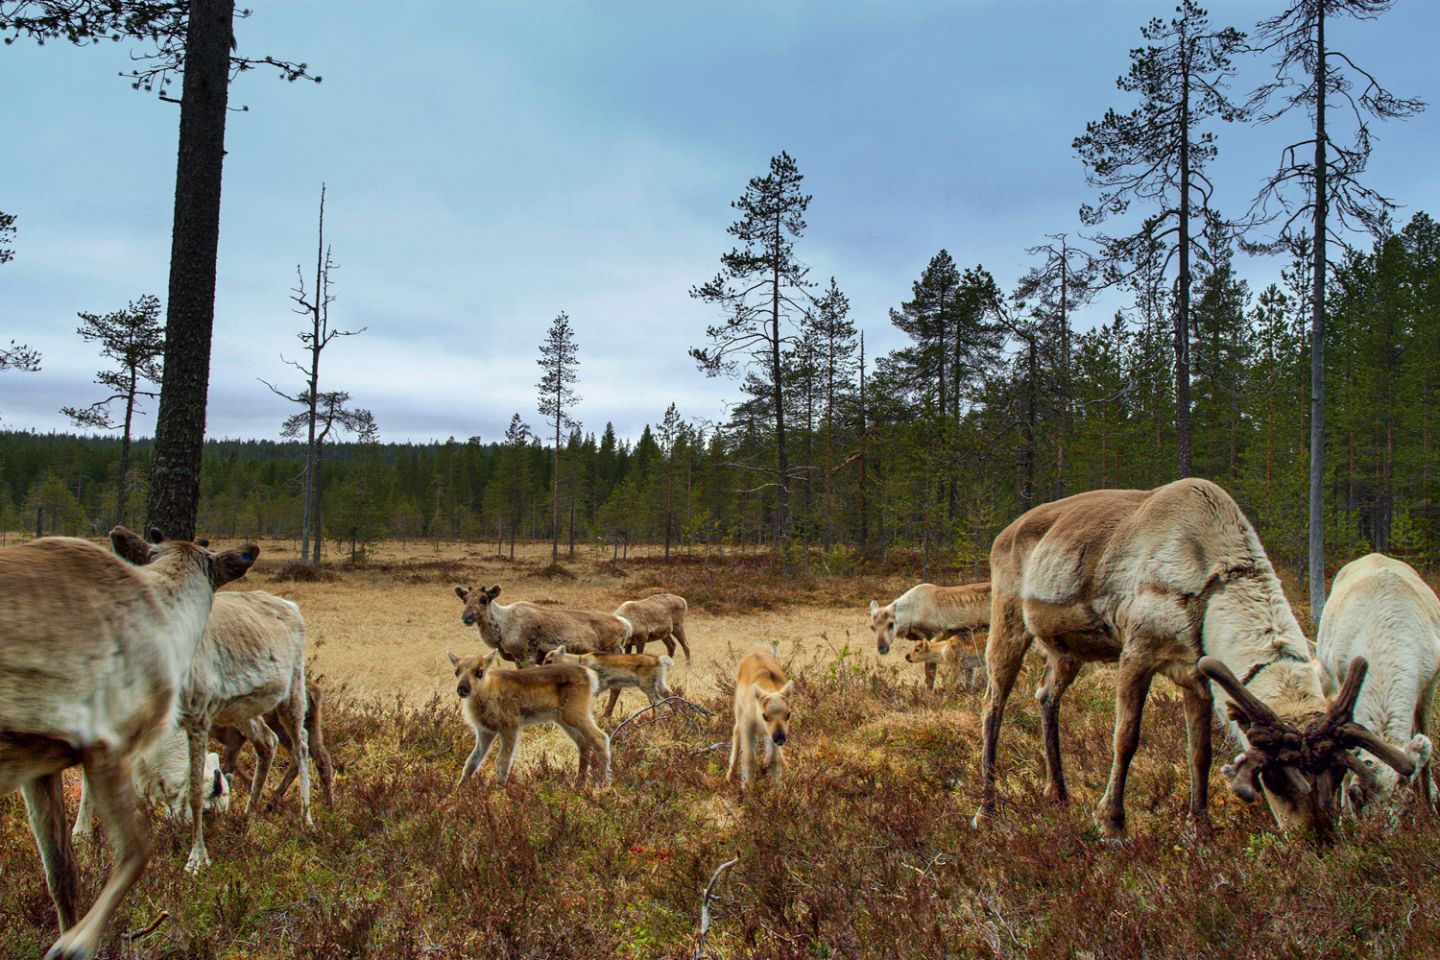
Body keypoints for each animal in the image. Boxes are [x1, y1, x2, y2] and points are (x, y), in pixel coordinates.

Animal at [446, 653, 610, 788]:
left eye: (479, 672)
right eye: (456, 671)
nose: (462, 689)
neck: (487, 692)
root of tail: (590, 674)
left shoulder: (510, 726)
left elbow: (502, 761)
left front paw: (501, 790)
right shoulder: (485, 731)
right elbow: (472, 761)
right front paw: (458, 790)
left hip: (577, 714)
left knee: (600, 738)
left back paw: (603, 784)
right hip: (564, 720)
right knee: (584, 744)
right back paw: (580, 784)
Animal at [541, 650, 676, 716]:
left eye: (549, 660)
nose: (541, 669)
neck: (581, 661)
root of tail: (659, 659)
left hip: (647, 686)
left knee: (660, 704)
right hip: (660, 683)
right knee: (670, 697)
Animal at [725, 644, 794, 788]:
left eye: (788, 714)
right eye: (765, 716)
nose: (780, 738)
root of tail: (754, 652)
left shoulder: (772, 735)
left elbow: (774, 759)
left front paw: (778, 788)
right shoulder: (747, 727)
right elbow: (749, 758)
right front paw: (748, 788)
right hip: (738, 712)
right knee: (736, 732)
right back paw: (729, 776)